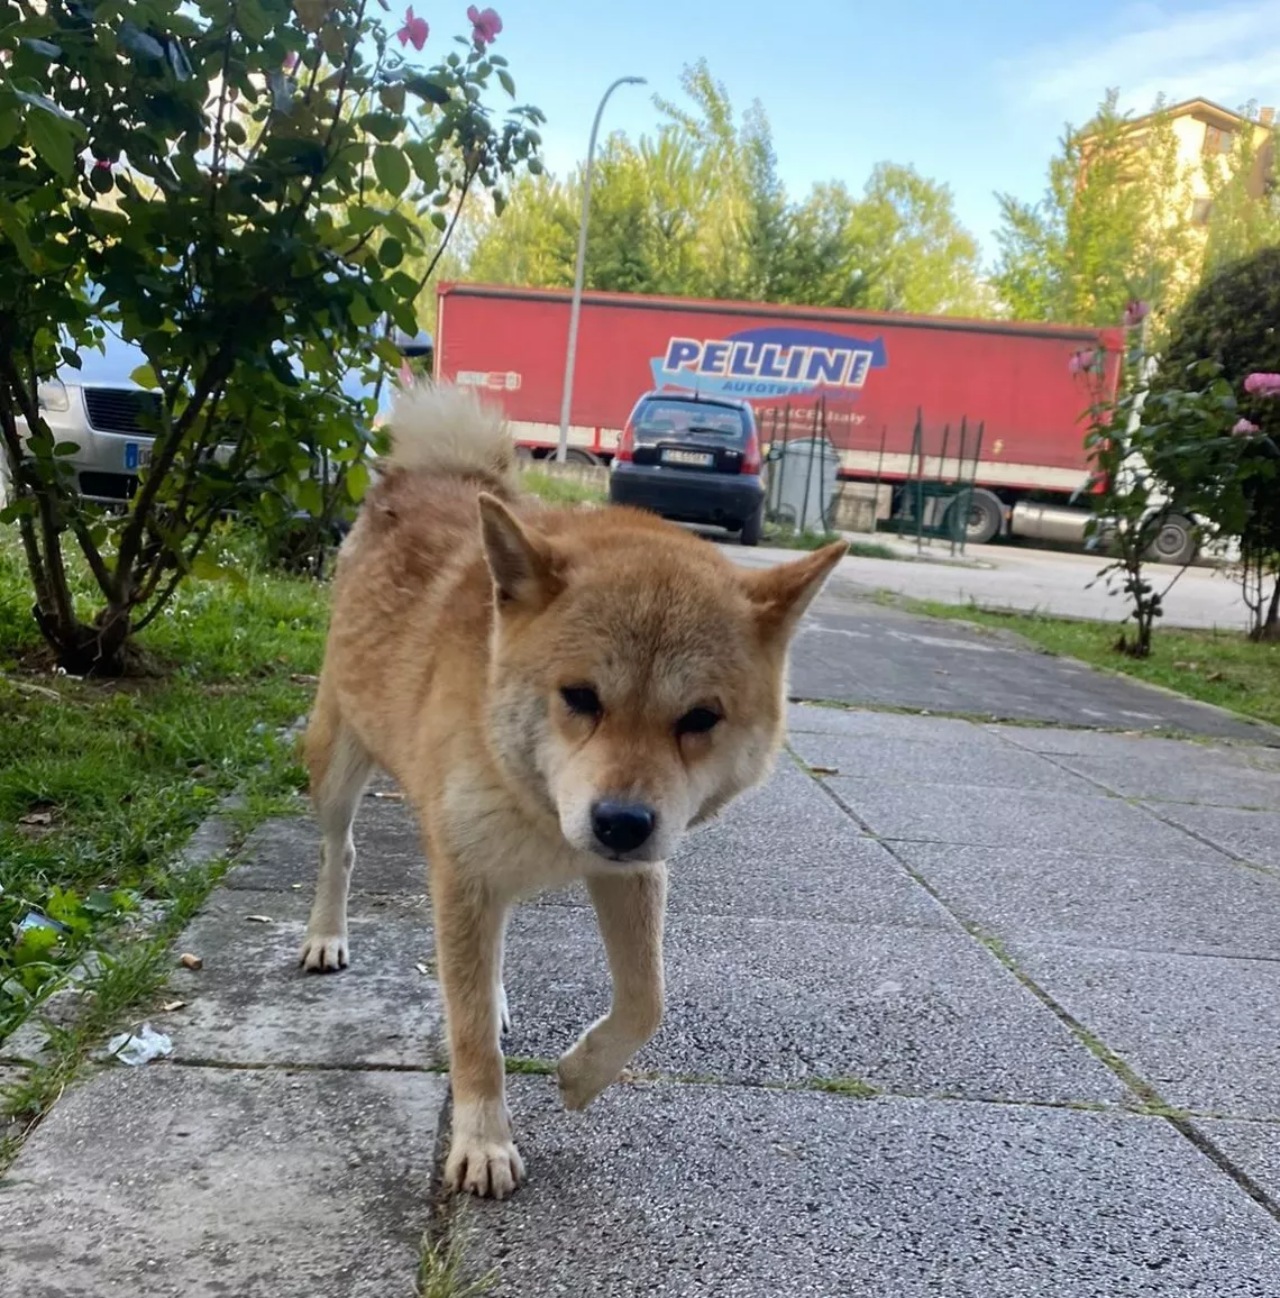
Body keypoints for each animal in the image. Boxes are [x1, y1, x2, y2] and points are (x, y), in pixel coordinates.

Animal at [295, 381, 841, 1194]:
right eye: (580, 697)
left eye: (700, 718)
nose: (620, 822)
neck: (537, 807)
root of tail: (433, 473)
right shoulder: (466, 873)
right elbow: (470, 1038)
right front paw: (483, 1140)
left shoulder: (633, 872)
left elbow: (647, 1001)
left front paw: (582, 1074)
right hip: (338, 758)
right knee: (340, 851)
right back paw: (326, 934)